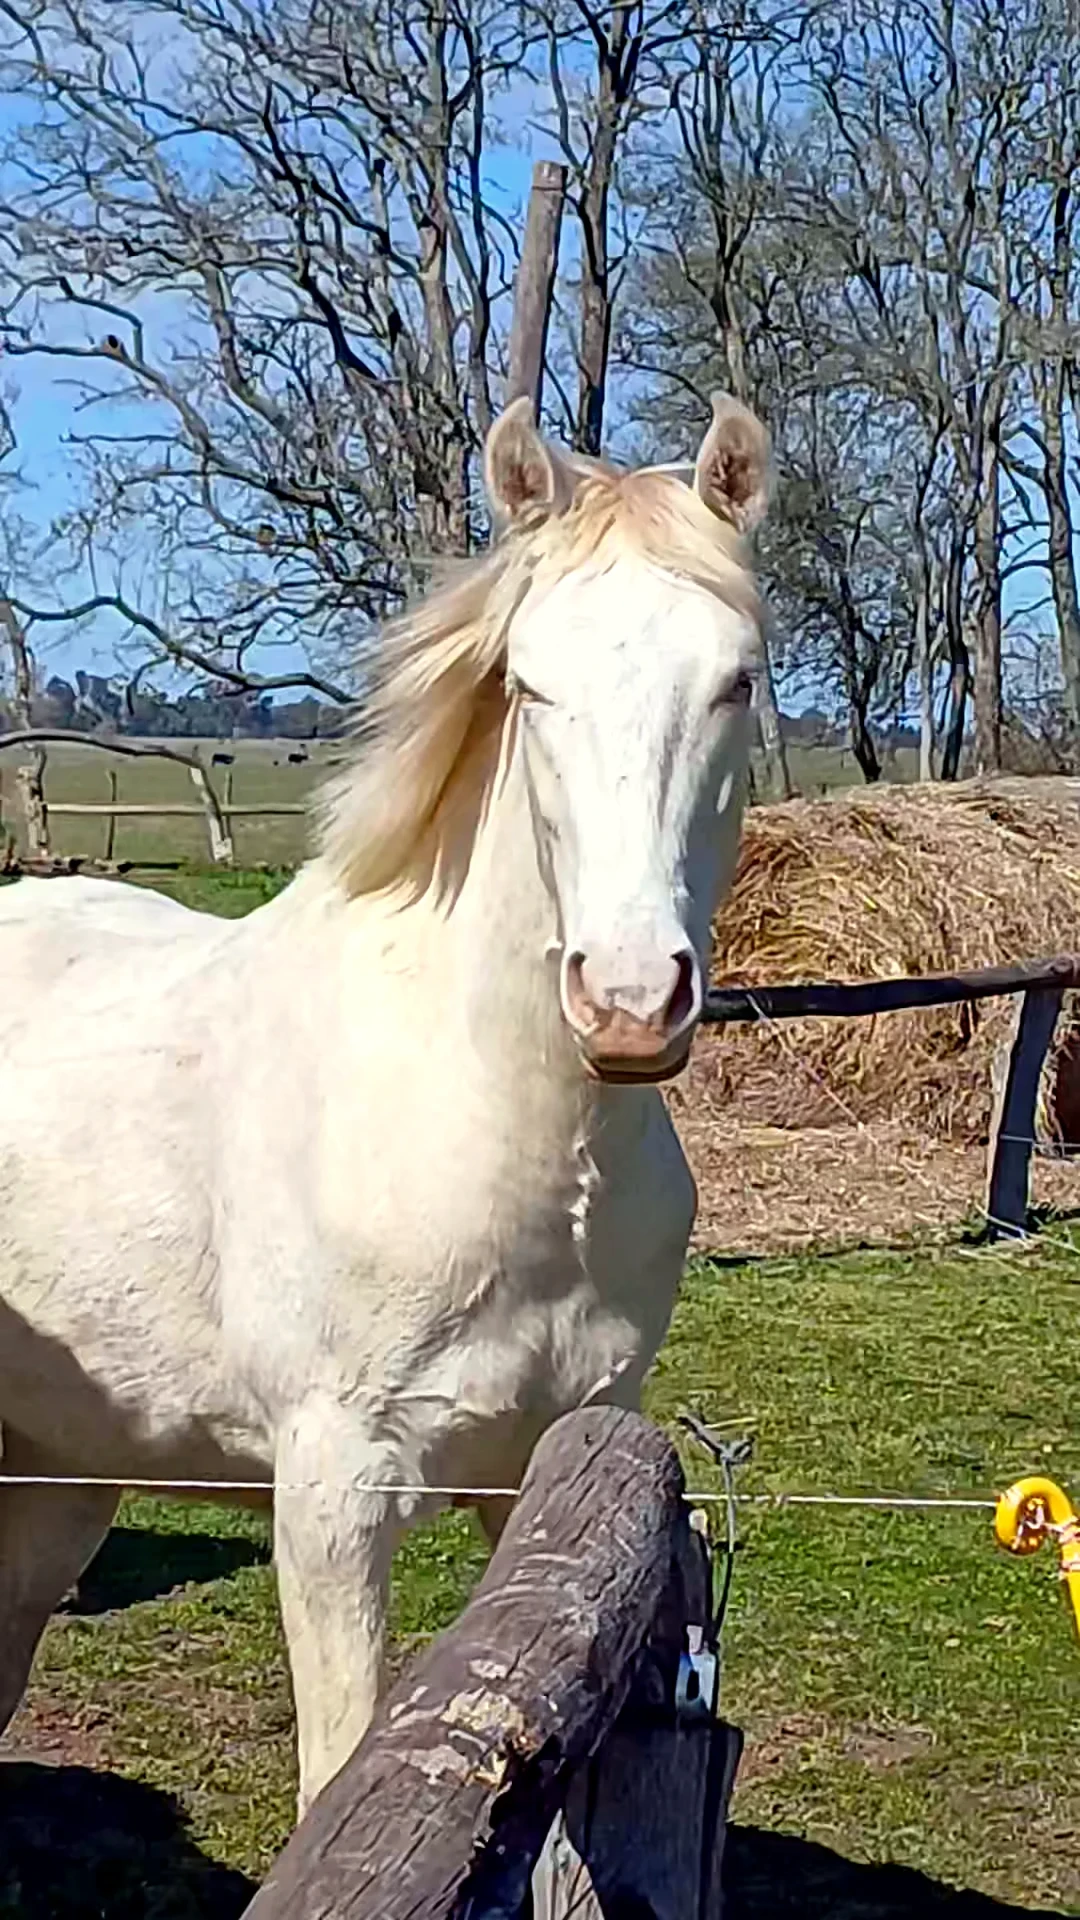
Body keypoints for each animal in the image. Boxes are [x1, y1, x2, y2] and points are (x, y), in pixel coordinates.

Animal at [0, 391, 769, 1813]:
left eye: (736, 681)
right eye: (530, 684)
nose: (630, 1000)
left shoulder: (547, 1473)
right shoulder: (334, 1496)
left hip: (60, 1470)